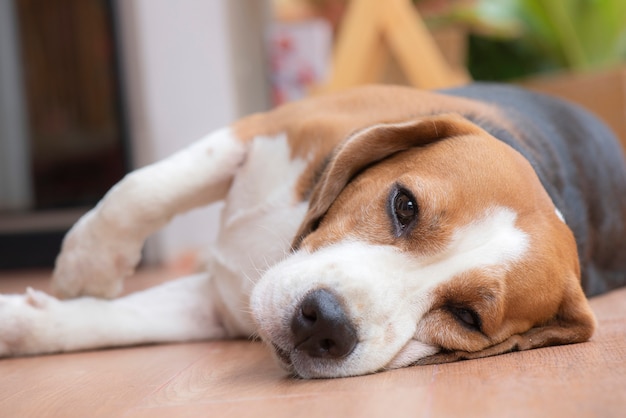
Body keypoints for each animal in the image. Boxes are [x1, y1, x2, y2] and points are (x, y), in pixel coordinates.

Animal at [1, 82, 624, 378]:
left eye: (467, 318)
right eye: (404, 205)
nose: (324, 323)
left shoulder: (219, 310)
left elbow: (116, 320)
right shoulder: (268, 128)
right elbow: (143, 188)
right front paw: (88, 264)